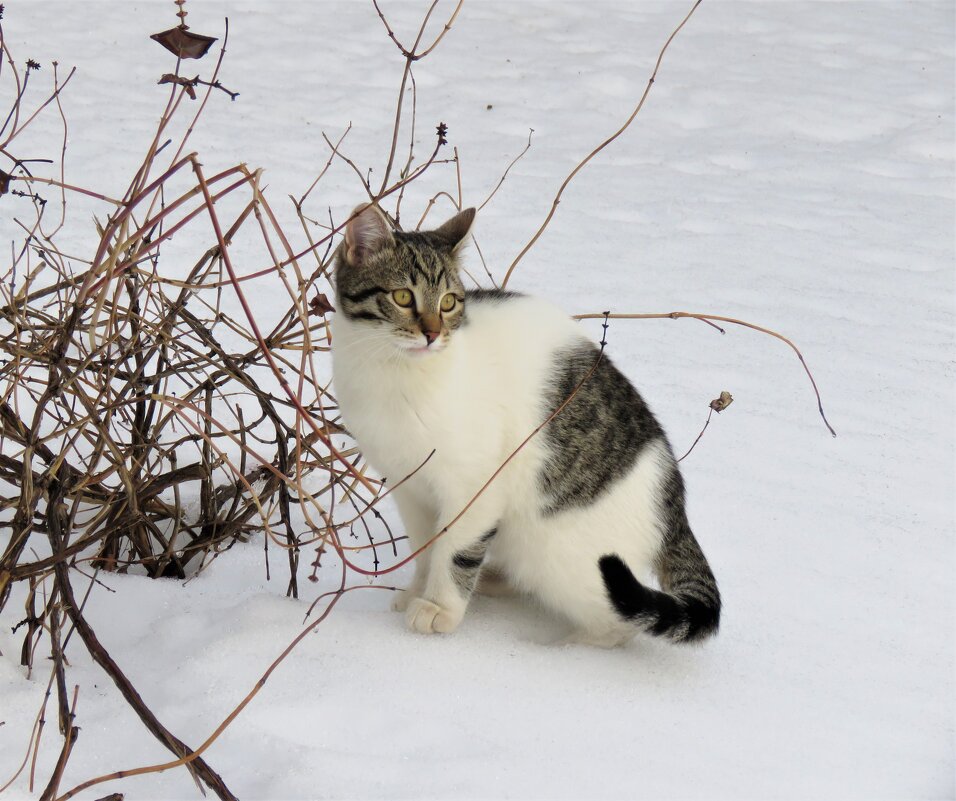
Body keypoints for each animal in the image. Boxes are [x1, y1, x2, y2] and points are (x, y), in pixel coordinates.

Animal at [328, 203, 716, 648]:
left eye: (448, 302)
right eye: (403, 296)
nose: (432, 334)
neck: (393, 375)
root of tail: (675, 503)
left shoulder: (474, 484)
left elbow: (454, 548)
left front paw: (440, 608)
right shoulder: (407, 485)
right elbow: (426, 546)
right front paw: (416, 591)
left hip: (563, 553)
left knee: (619, 623)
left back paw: (567, 647)